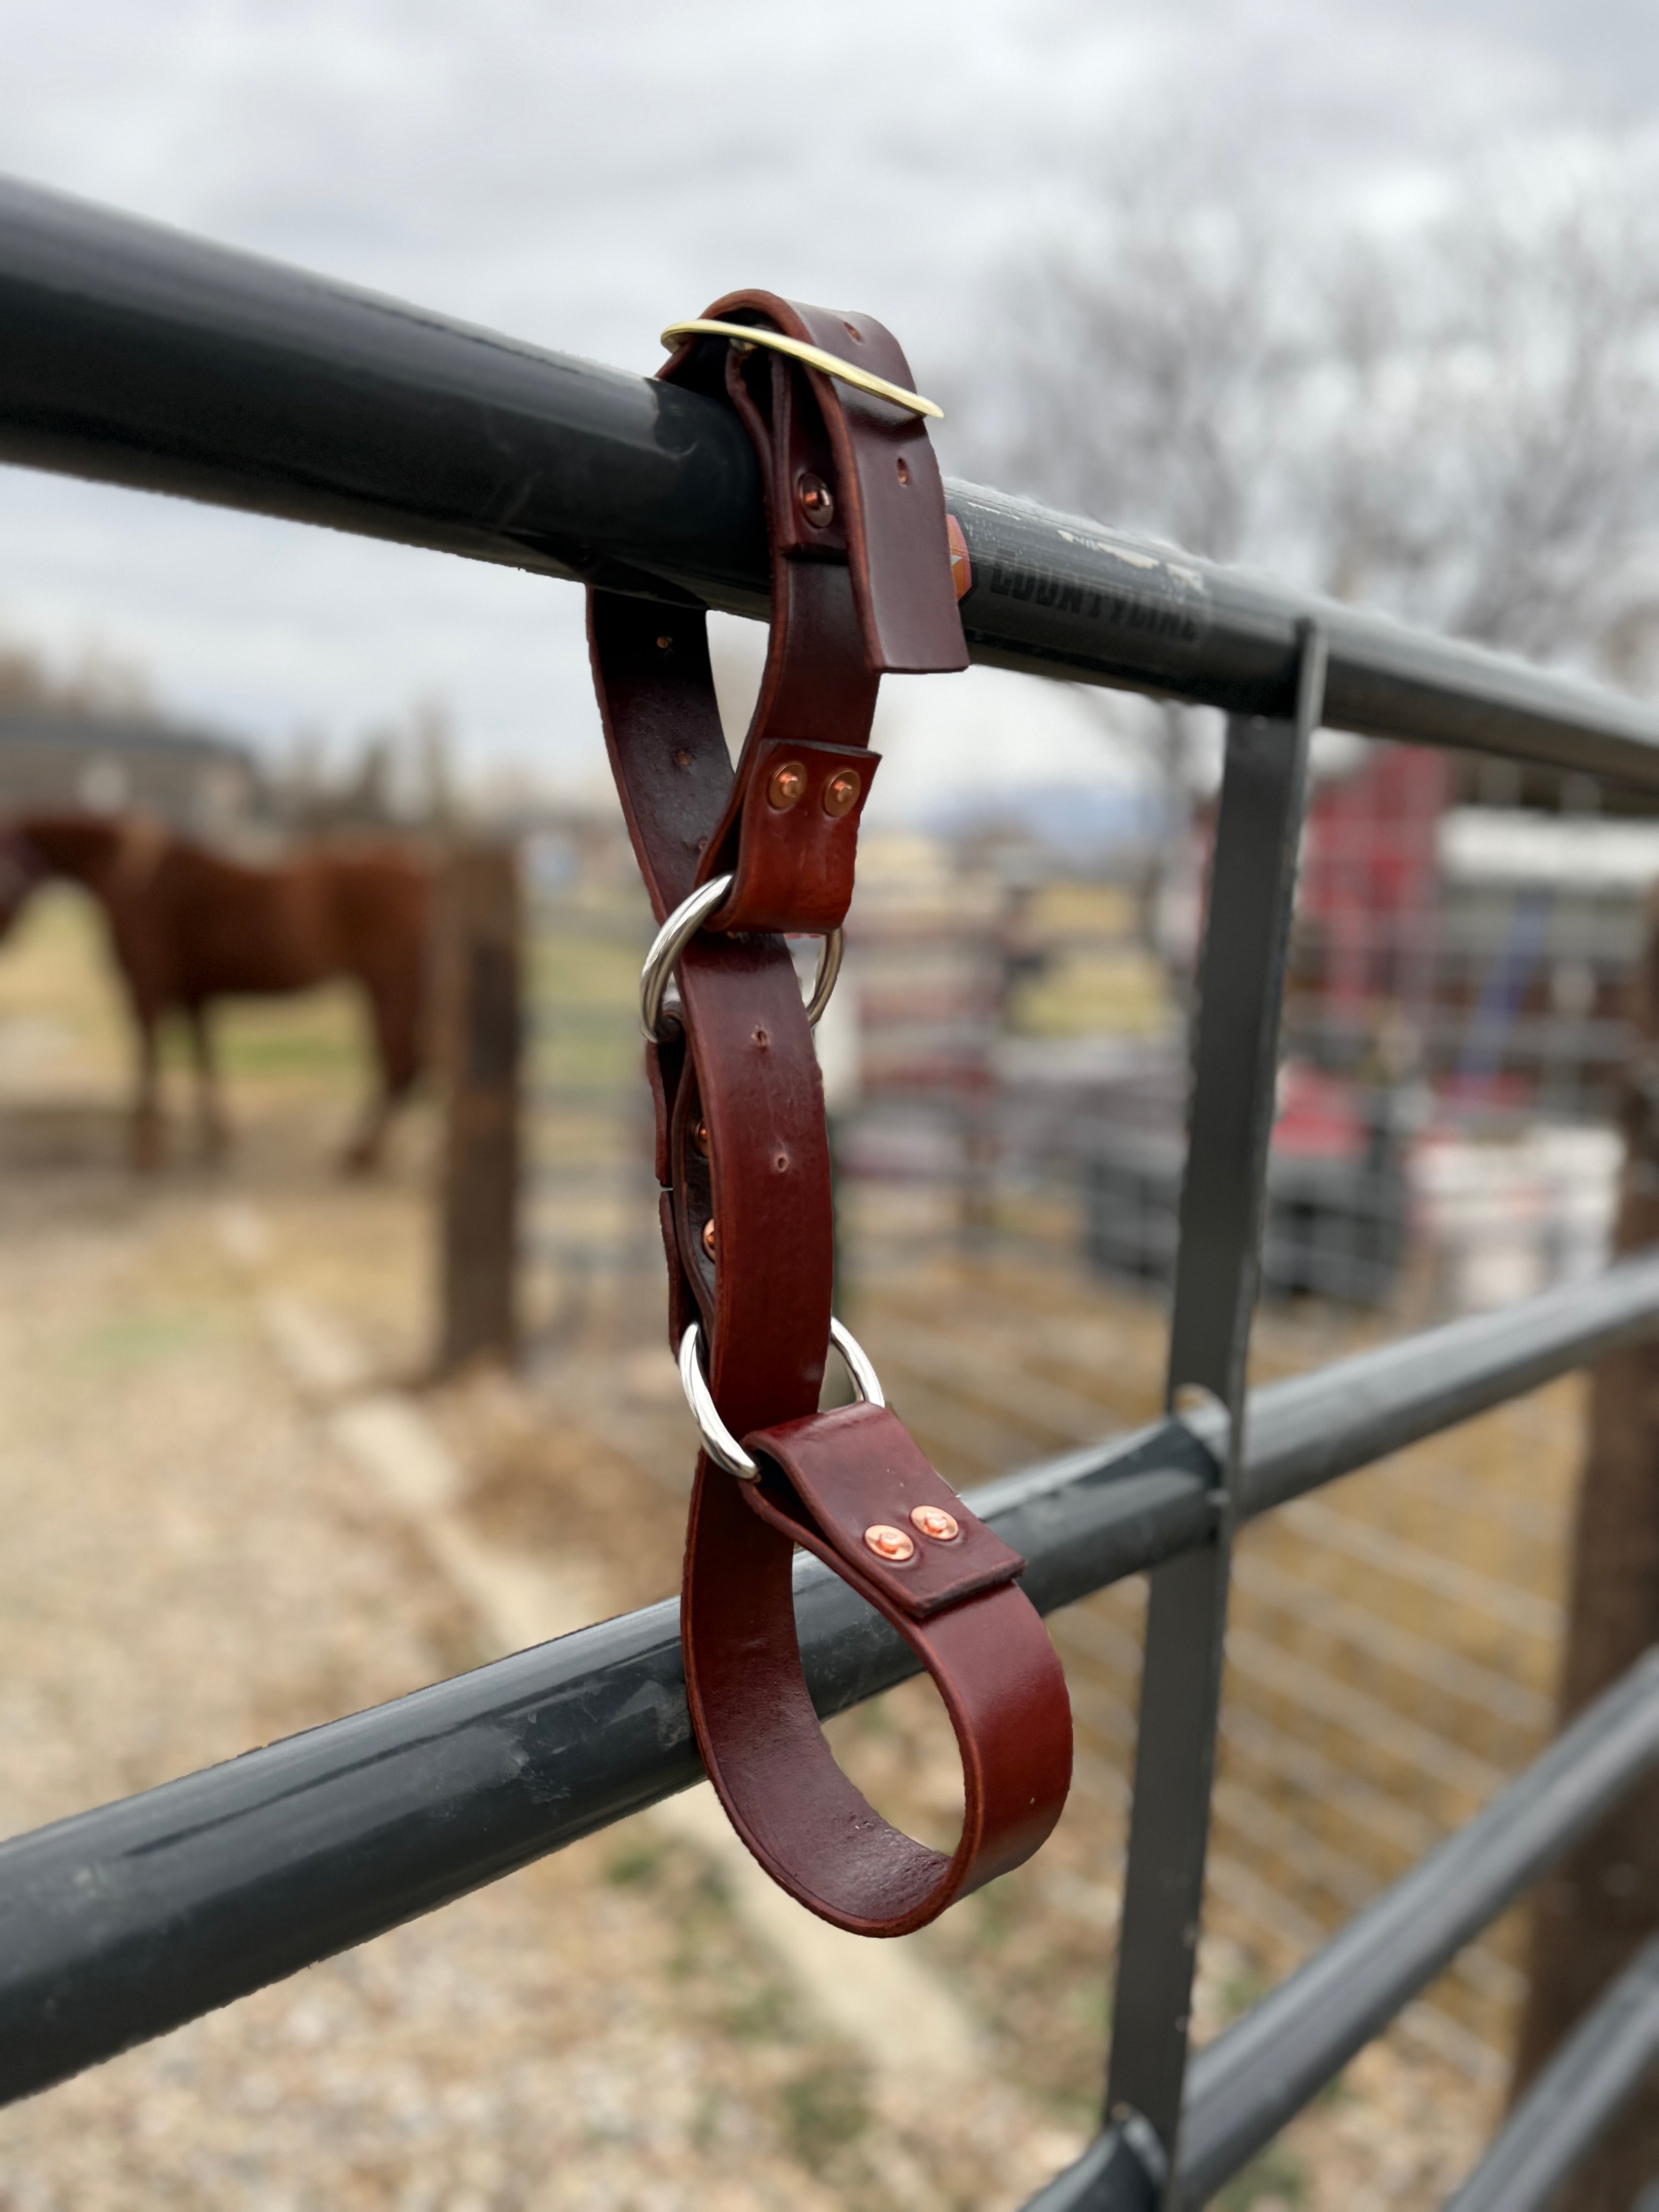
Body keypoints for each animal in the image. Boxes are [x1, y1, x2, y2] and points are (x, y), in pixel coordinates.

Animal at [0, 812, 431, 1172]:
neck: (133, 876)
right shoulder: (194, 995)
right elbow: (202, 1057)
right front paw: (216, 1135)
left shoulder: (146, 991)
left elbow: (150, 1062)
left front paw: (146, 1149)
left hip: (391, 990)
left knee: (401, 1066)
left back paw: (365, 1152)